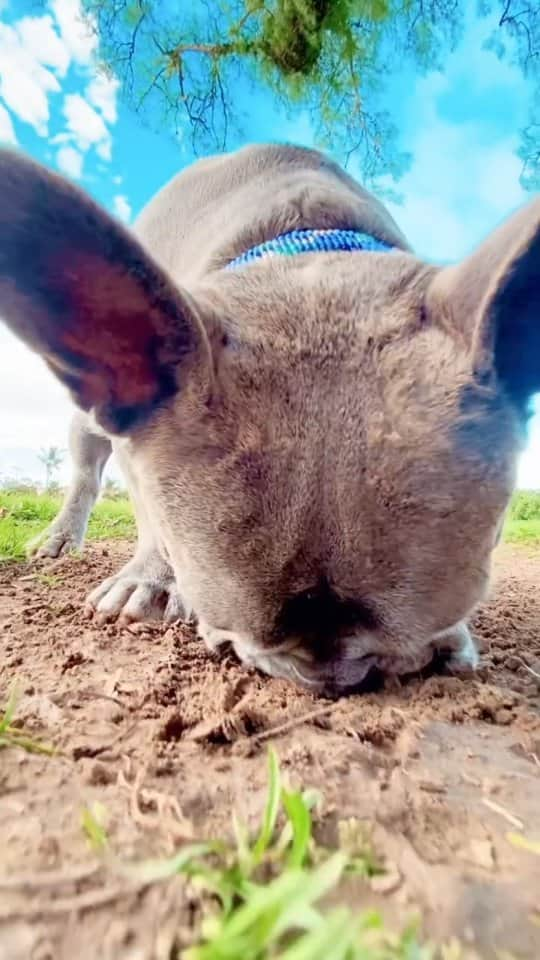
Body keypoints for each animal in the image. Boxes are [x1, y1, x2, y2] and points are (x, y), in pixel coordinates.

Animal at [1, 144, 540, 696]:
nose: (335, 678)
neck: (304, 246)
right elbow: (149, 513)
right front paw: (150, 578)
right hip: (88, 425)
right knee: (87, 474)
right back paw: (62, 539)